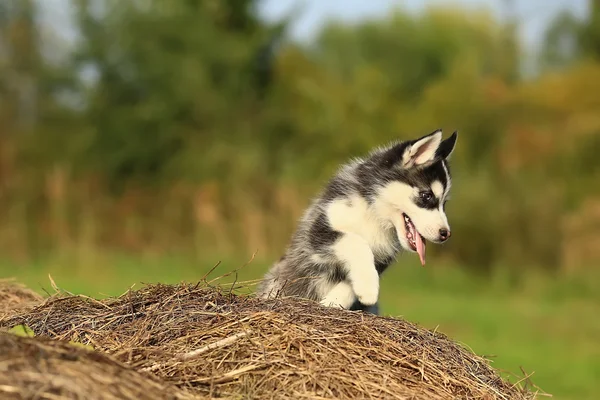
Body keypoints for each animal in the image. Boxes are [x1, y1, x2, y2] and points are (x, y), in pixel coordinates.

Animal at [255, 130, 458, 314]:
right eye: (427, 196)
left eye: (444, 204)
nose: (445, 234)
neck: (374, 214)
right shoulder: (319, 232)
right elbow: (356, 242)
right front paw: (367, 287)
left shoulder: (381, 259)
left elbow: (351, 282)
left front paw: (335, 301)